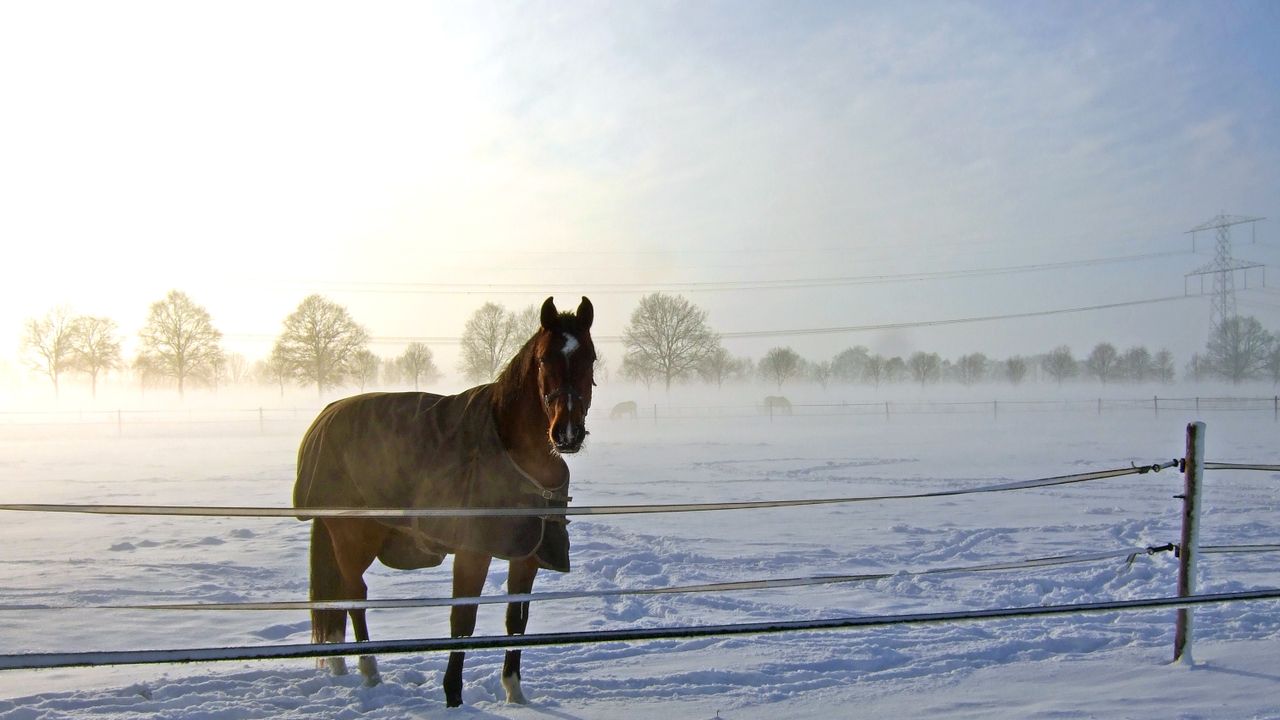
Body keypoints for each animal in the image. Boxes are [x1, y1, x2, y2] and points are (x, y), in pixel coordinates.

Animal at [293, 296, 595, 707]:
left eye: (590, 358)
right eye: (544, 359)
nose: (566, 433)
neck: (513, 452)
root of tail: (326, 413)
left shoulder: (527, 553)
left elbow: (516, 620)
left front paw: (514, 692)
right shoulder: (472, 551)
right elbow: (462, 622)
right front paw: (453, 696)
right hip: (354, 535)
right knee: (355, 594)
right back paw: (369, 670)